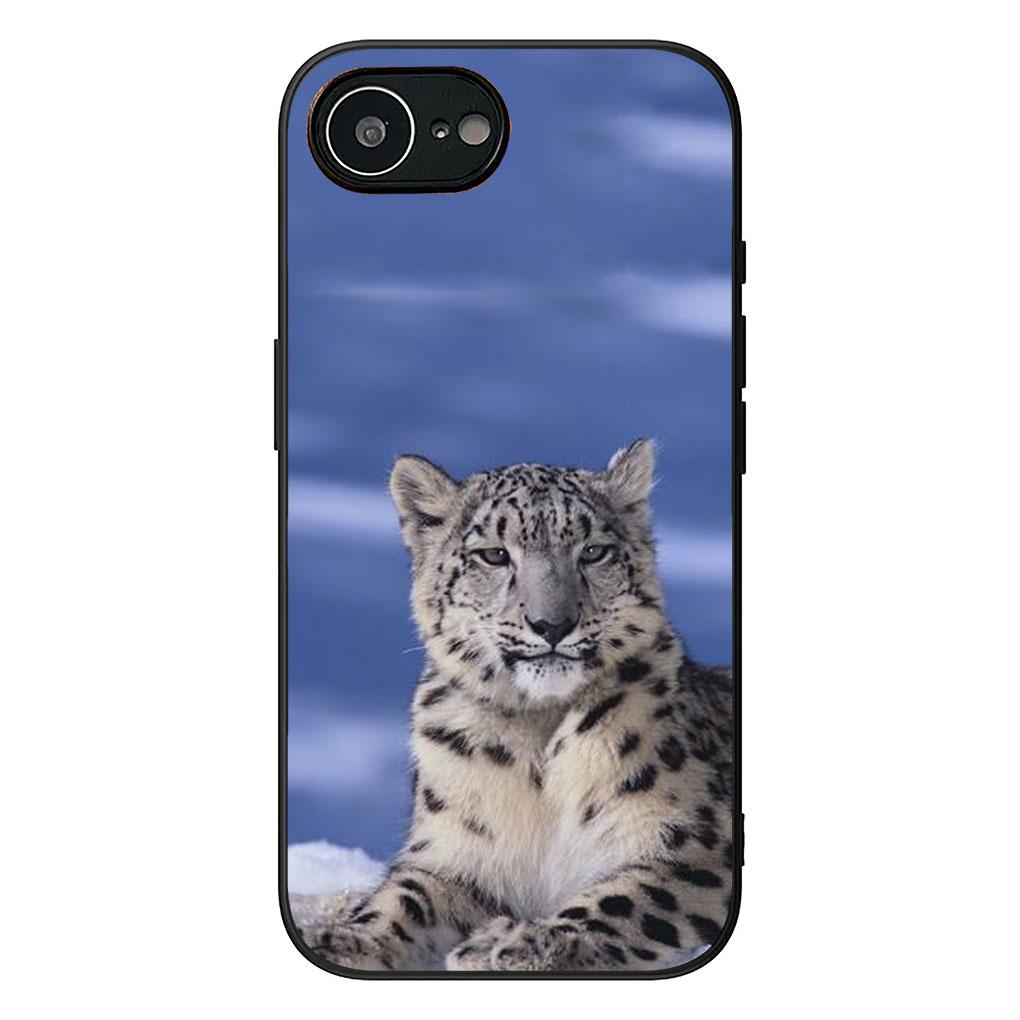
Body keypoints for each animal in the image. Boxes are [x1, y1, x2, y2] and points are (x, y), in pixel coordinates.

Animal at [297, 439, 735, 973]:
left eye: (593, 551)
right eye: (494, 555)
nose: (553, 624)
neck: (539, 742)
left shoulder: (692, 847)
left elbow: (622, 899)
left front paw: (517, 944)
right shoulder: (454, 853)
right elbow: (399, 900)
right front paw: (340, 939)